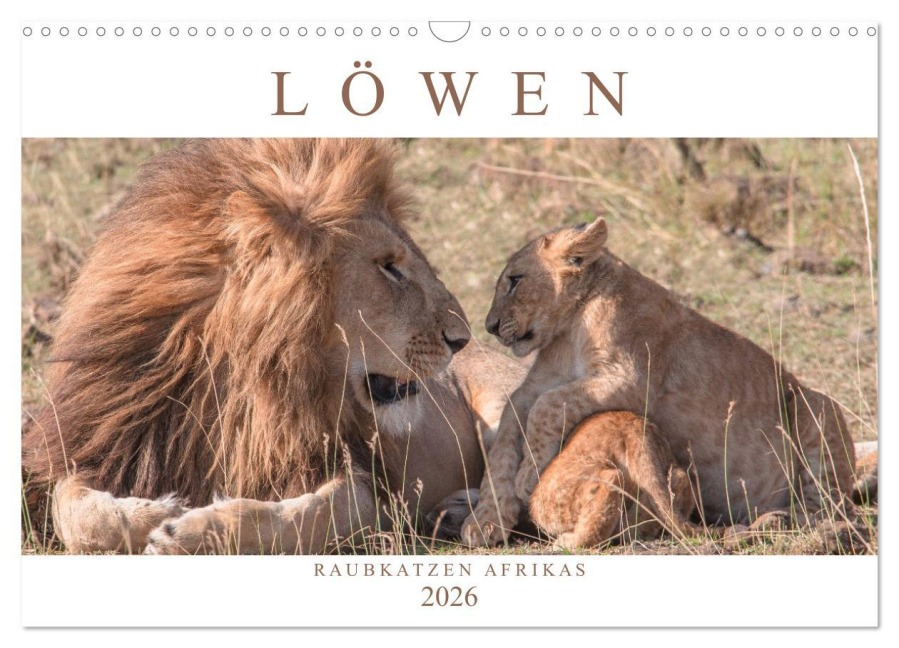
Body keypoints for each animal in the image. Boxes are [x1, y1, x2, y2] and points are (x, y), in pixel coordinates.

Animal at [21, 139, 524, 554]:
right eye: (388, 266)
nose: (463, 337)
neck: (237, 383)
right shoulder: (102, 444)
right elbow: (78, 514)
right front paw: (159, 510)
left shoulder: (362, 480)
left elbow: (302, 517)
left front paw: (190, 529)